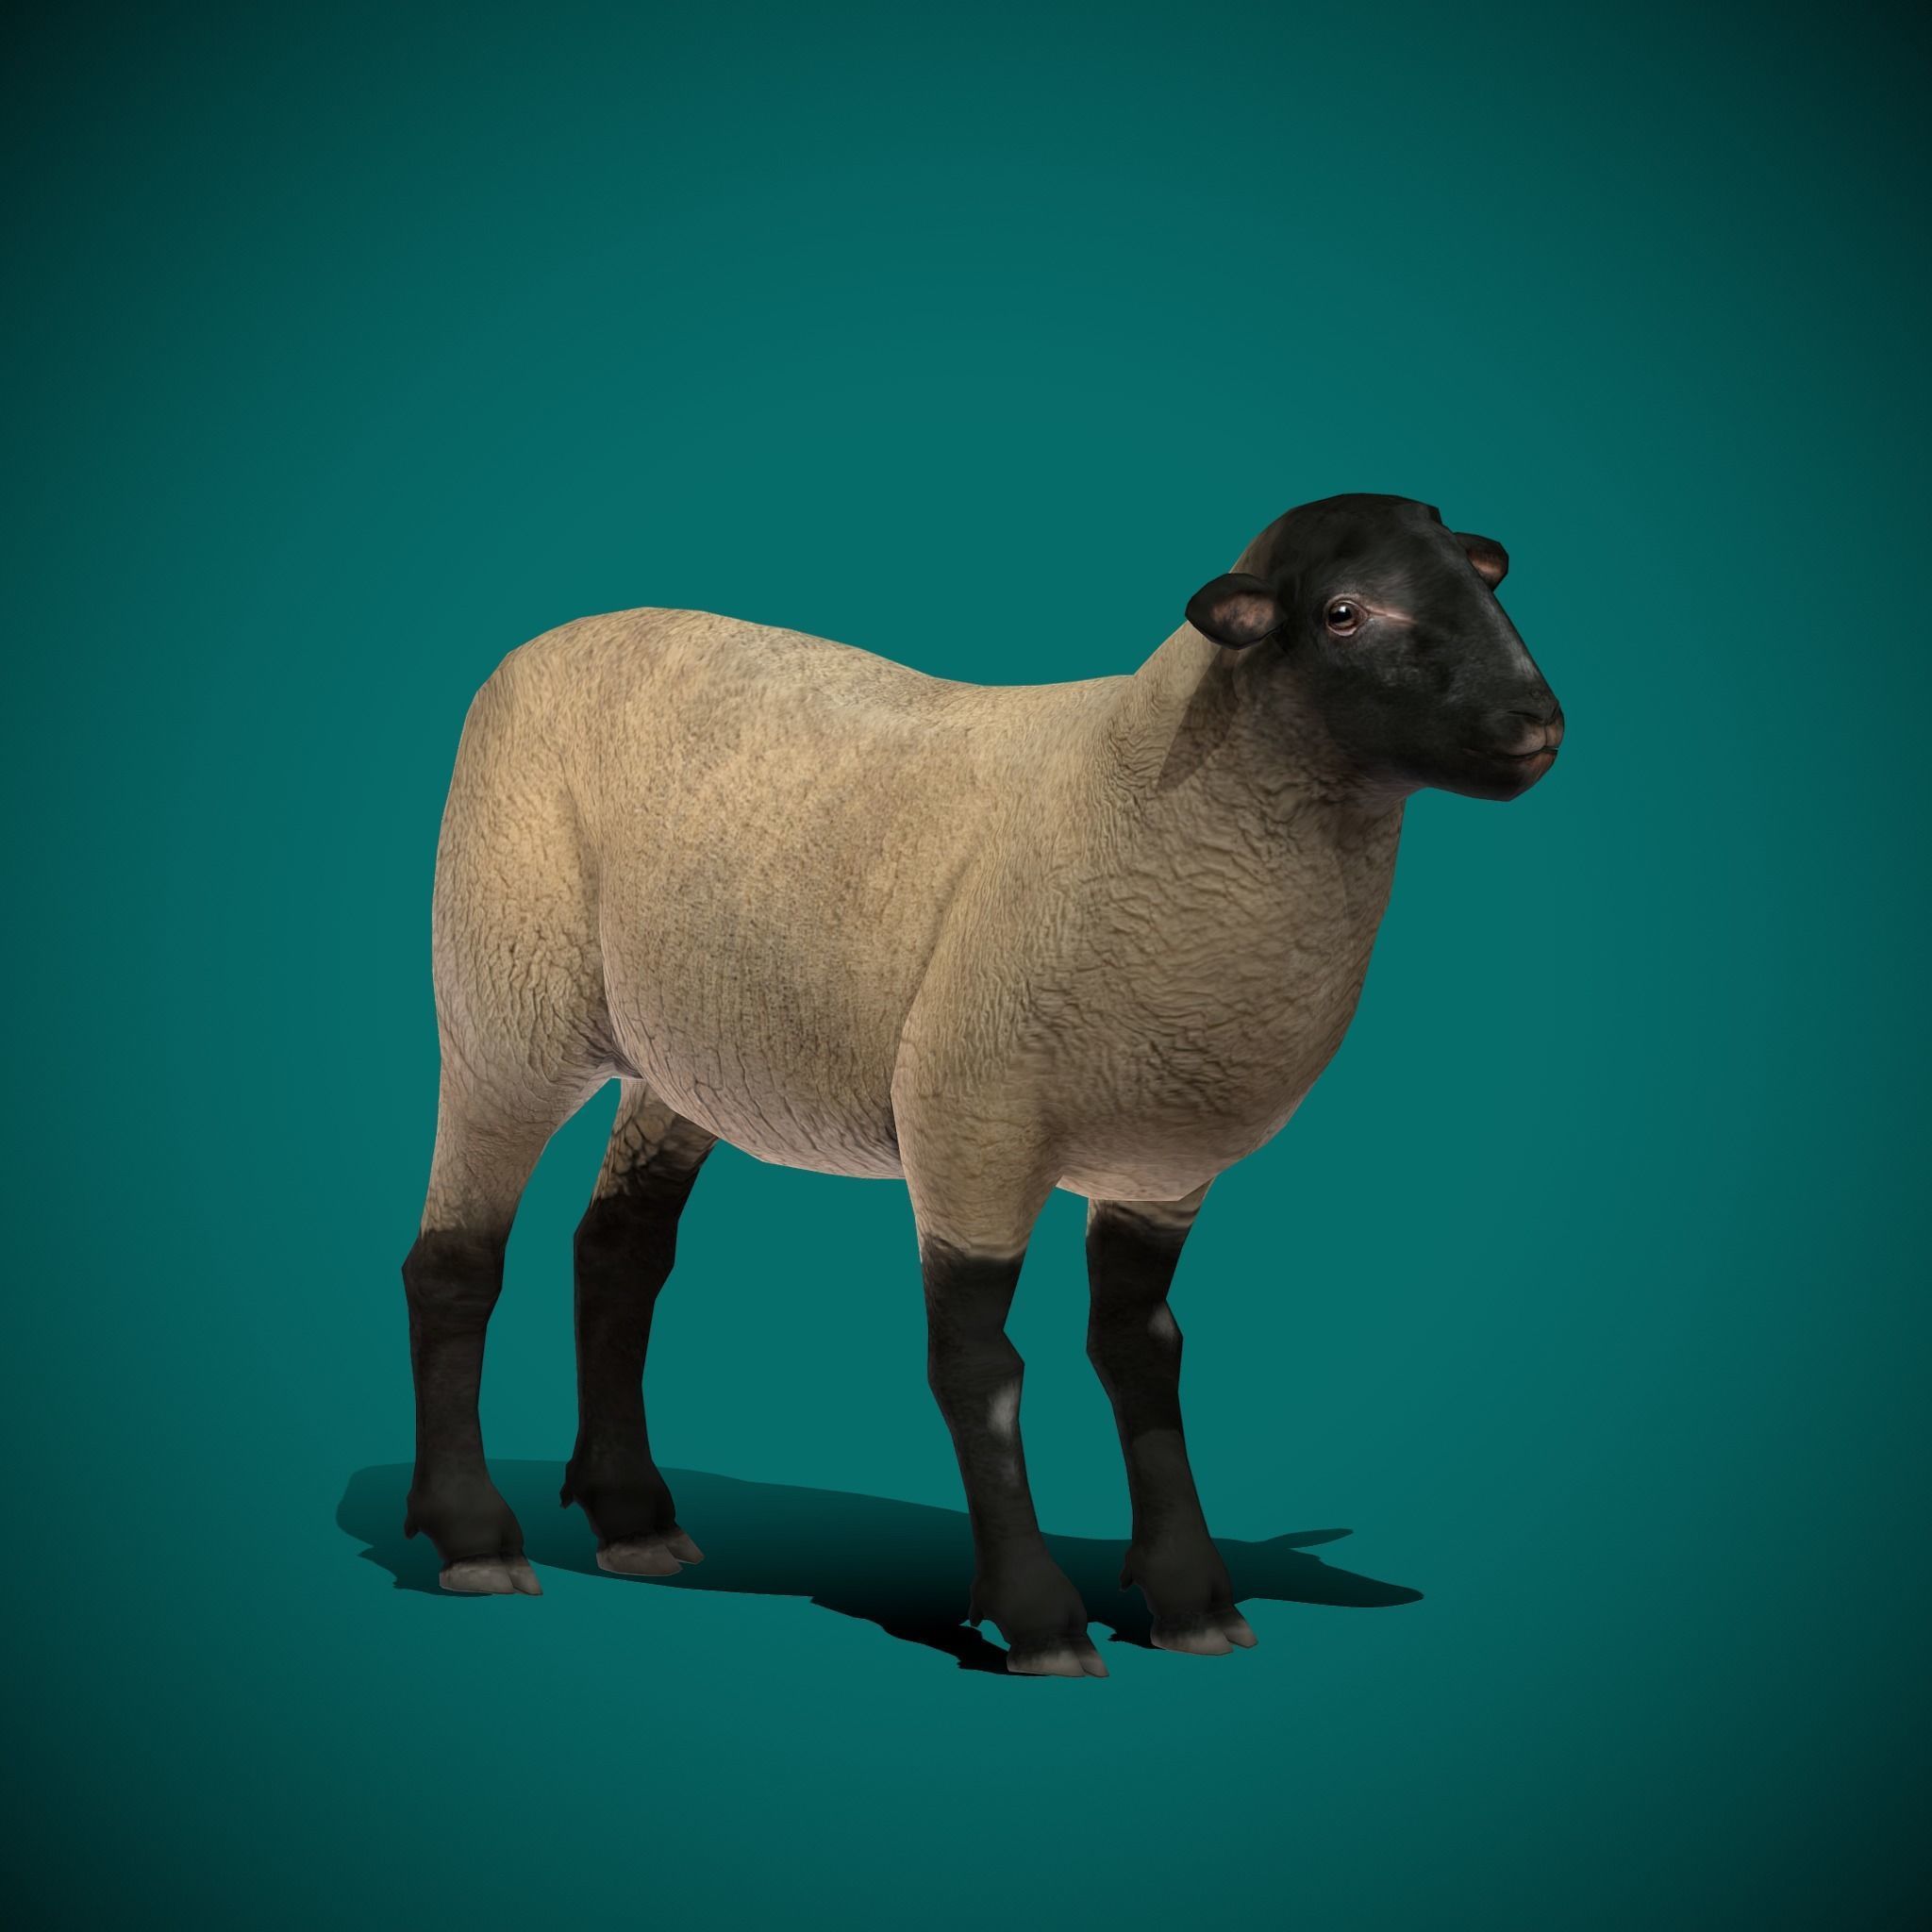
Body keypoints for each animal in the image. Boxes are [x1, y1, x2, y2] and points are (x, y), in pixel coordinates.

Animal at [400, 490, 1564, 1677]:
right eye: (1341, 612)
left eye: (1482, 579)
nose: (1537, 725)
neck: (1151, 795)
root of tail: (551, 639)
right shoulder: (971, 1127)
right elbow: (979, 1368)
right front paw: (1038, 1610)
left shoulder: (1158, 1168)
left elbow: (1143, 1353)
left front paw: (1190, 1594)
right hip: (505, 1001)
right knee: (452, 1263)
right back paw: (474, 1534)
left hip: (679, 1056)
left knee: (618, 1251)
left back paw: (631, 1514)